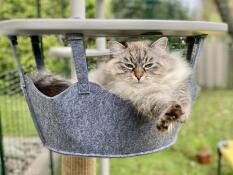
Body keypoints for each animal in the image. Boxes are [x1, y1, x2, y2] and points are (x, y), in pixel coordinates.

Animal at [33, 37, 193, 132]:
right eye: (129, 65)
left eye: (148, 65)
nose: (139, 76)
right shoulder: (146, 97)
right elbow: (164, 104)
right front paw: (169, 117)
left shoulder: (178, 85)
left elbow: (184, 100)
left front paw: (182, 116)